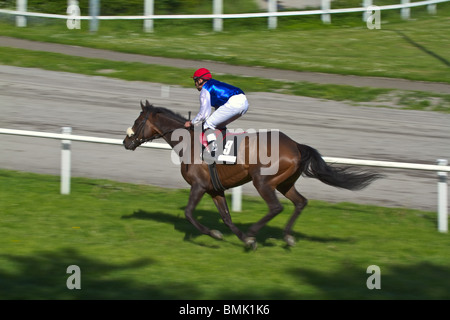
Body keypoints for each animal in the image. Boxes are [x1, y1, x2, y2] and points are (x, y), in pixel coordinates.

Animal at [122, 101, 380, 249]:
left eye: (137, 120)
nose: (126, 142)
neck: (189, 142)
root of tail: (296, 145)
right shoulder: (215, 189)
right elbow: (226, 218)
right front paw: (241, 238)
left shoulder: (199, 186)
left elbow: (188, 213)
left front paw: (220, 235)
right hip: (284, 183)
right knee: (300, 202)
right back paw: (287, 237)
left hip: (262, 181)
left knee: (276, 207)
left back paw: (256, 232)